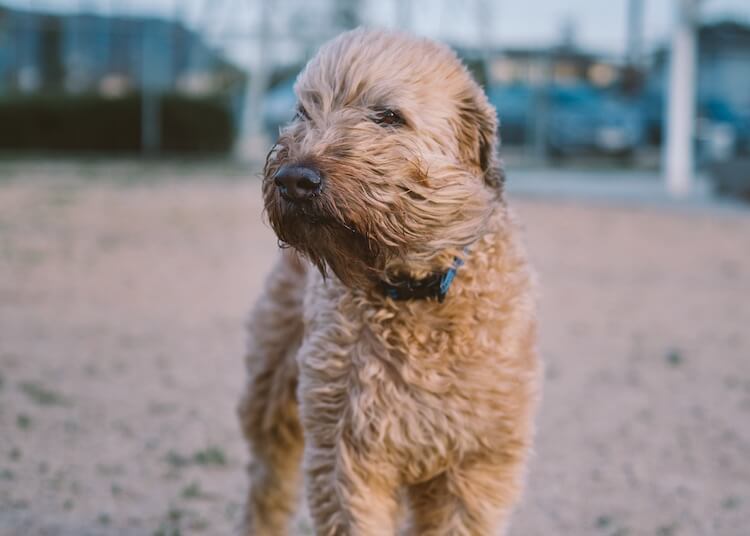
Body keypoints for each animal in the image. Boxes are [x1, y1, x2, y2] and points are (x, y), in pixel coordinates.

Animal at [241, 29, 540, 536]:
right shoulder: (348, 455)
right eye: (303, 111)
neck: (416, 294)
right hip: (273, 396)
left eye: (388, 116)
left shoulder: (475, 465)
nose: (294, 179)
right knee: (267, 489)